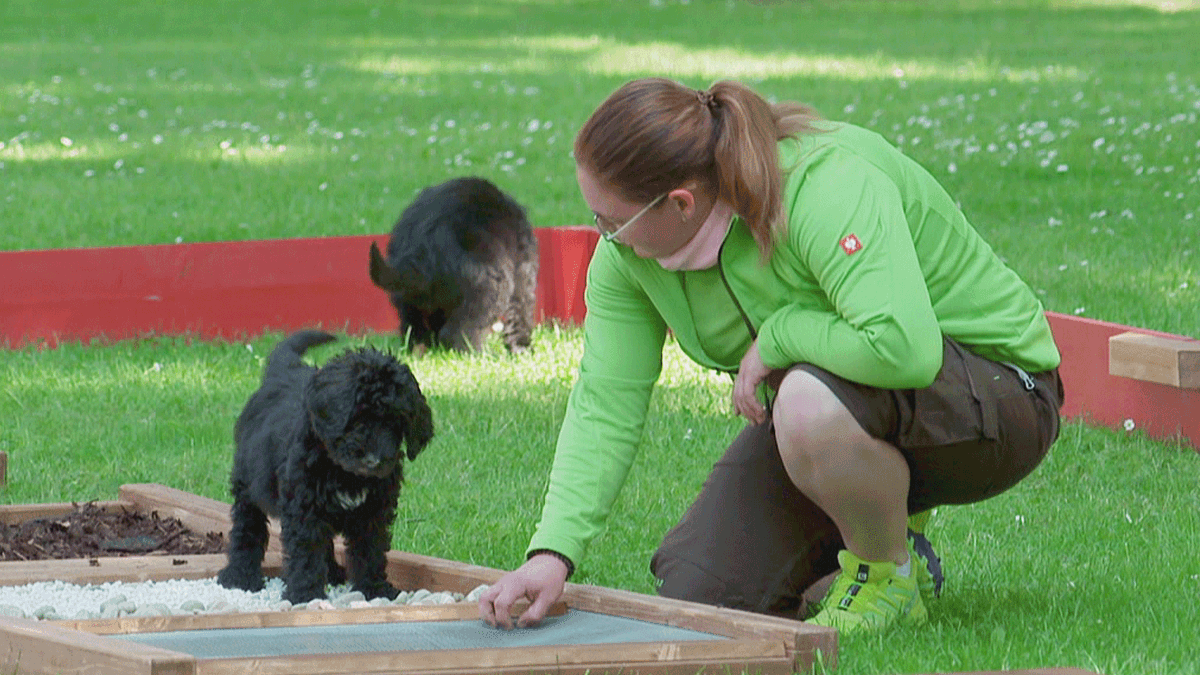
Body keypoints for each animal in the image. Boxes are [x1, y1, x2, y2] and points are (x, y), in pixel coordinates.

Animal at [218, 329, 434, 600]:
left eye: (396, 423)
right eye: (357, 417)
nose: (374, 460)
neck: (345, 473)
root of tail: (283, 372)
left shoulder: (374, 509)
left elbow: (371, 548)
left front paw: (374, 588)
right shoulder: (303, 504)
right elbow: (307, 550)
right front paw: (306, 594)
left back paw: (331, 572)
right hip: (248, 481)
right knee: (247, 526)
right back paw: (240, 575)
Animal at [364, 176, 535, 355]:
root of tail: (423, 246)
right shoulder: (523, 277)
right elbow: (520, 314)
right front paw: (522, 348)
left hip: (405, 299)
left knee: (414, 329)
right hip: (490, 288)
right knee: (458, 331)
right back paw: (477, 354)